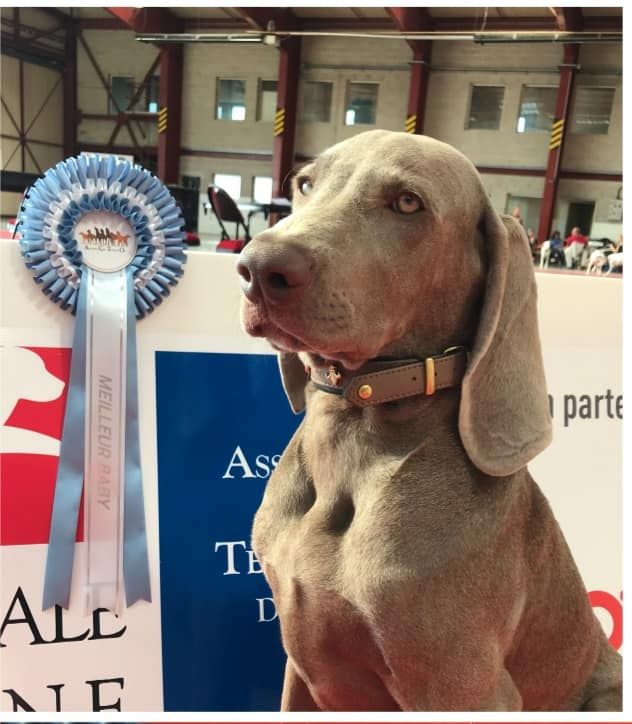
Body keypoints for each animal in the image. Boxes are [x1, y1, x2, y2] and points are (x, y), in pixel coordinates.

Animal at [237, 130, 622, 711]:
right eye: (304, 184)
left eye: (407, 202)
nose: (259, 268)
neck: (355, 440)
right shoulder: (299, 665)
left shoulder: (469, 687)